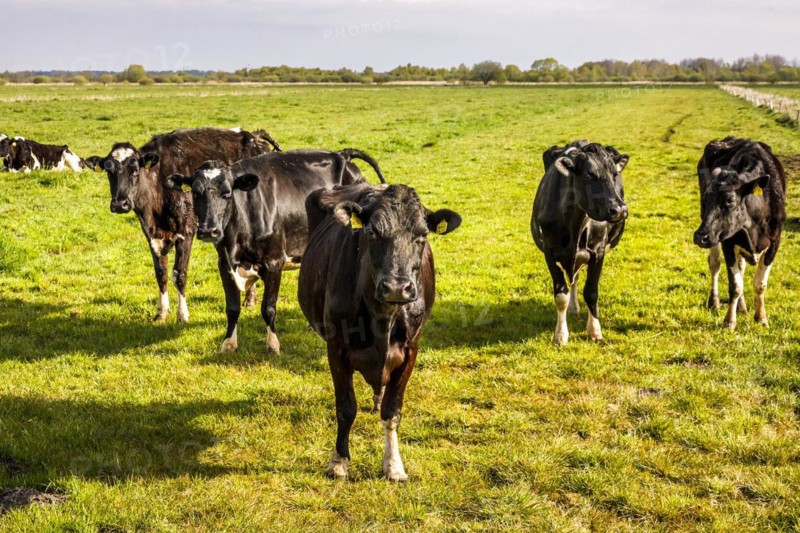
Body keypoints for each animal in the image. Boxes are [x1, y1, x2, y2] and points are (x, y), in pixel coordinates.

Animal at [84, 127, 279, 323]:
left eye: (135, 171)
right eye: (109, 171)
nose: (120, 204)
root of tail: (254, 136)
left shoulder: (186, 232)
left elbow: (179, 274)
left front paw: (182, 315)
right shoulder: (151, 234)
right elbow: (161, 273)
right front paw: (161, 312)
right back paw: (250, 298)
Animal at [164, 148, 386, 354]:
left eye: (226, 193)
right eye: (195, 193)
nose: (208, 230)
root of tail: (342, 155)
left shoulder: (274, 263)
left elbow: (268, 308)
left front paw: (273, 345)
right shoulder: (225, 264)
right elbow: (232, 308)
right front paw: (228, 344)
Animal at [298, 182, 461, 481]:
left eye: (423, 235)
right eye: (372, 232)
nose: (397, 287)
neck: (382, 320)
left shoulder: (410, 349)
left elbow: (392, 410)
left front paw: (394, 465)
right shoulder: (336, 348)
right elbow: (346, 408)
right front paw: (338, 462)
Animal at [531, 140, 629, 346]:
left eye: (614, 174)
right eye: (588, 174)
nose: (620, 210)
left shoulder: (598, 252)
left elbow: (591, 292)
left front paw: (595, 331)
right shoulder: (549, 252)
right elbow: (561, 295)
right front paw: (560, 335)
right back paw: (573, 308)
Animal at [693, 136, 786, 330]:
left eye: (730, 200)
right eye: (706, 199)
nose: (700, 236)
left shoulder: (775, 243)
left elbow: (760, 284)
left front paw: (761, 318)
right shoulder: (727, 242)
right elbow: (735, 286)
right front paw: (729, 321)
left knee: (741, 268)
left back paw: (742, 308)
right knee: (714, 264)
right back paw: (714, 302)